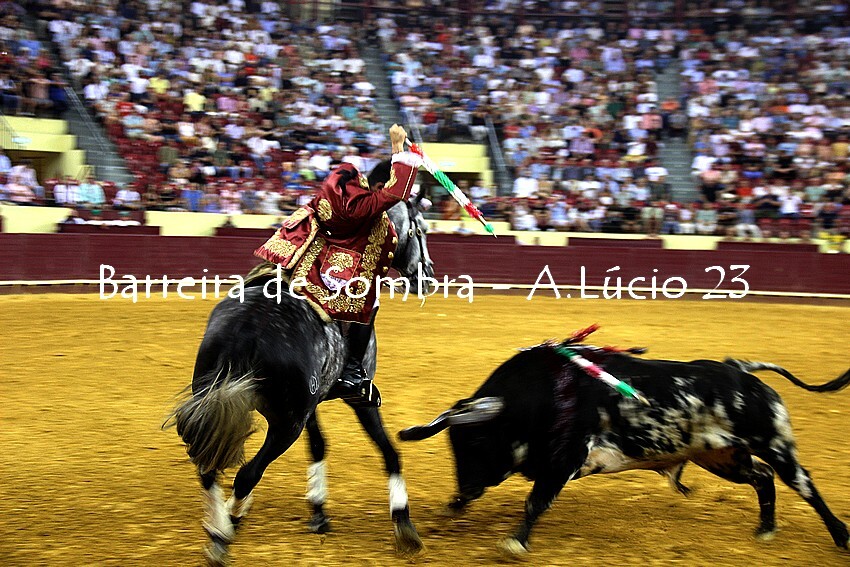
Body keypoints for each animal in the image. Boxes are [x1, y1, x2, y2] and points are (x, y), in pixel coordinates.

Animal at [167, 196, 433, 565]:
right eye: (420, 229)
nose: (429, 275)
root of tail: (245, 328)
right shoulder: (359, 400)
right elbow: (389, 451)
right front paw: (403, 523)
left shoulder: (313, 405)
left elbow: (319, 444)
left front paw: (318, 510)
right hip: (286, 425)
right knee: (246, 474)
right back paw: (225, 530)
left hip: (228, 401)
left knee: (209, 467)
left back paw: (219, 528)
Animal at [399, 340, 850, 557]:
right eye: (455, 445)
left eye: (476, 440)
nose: (466, 490)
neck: (535, 396)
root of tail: (740, 371)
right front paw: (453, 509)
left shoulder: (564, 461)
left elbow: (535, 503)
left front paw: (515, 543)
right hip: (721, 457)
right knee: (763, 478)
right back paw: (765, 529)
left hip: (772, 442)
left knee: (803, 484)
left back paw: (840, 536)